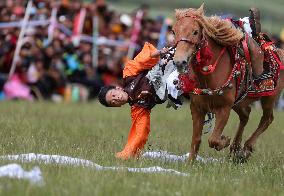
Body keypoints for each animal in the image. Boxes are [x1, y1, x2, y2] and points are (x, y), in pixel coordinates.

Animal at [172, 3, 284, 162]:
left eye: (195, 32)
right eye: (173, 31)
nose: (179, 61)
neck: (209, 75)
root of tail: (279, 52)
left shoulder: (224, 108)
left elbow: (213, 139)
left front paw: (225, 141)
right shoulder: (197, 108)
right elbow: (196, 139)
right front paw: (190, 162)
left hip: (269, 98)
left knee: (267, 119)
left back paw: (245, 149)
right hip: (239, 101)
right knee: (246, 114)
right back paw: (236, 148)